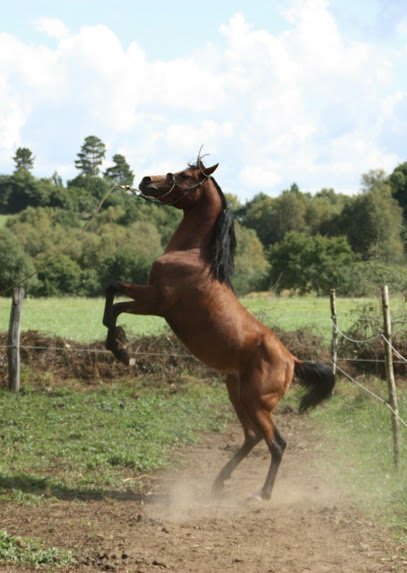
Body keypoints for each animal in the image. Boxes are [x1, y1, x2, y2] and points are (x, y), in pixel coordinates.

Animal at [103, 158, 336, 500]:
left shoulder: (156, 302)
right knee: (252, 438)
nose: (146, 181)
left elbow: (115, 302)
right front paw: (118, 345)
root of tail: (292, 360)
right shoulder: (150, 297)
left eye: (185, 175)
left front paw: (120, 347)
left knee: (276, 443)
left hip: (256, 403)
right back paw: (218, 482)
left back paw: (262, 494)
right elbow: (113, 290)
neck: (192, 256)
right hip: (236, 395)